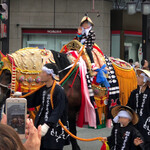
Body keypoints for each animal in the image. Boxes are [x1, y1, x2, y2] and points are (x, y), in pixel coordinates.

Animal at [0, 40, 137, 150]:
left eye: (7, 73)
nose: (1, 96)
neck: (63, 75)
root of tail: (129, 65)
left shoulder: (70, 110)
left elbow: (72, 131)